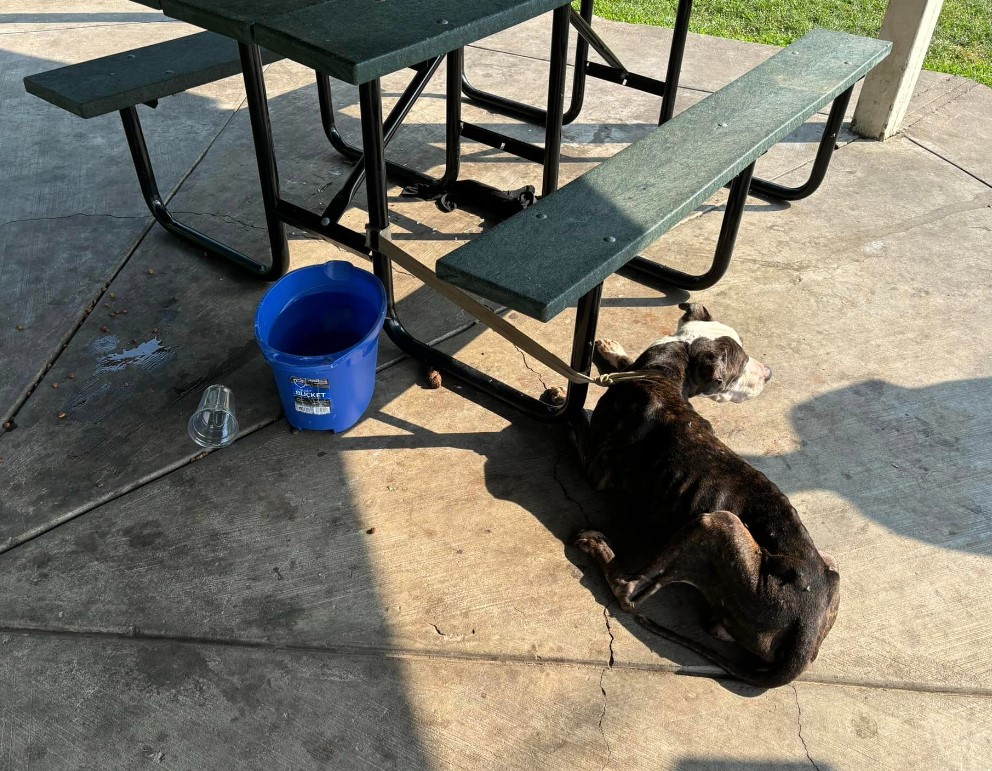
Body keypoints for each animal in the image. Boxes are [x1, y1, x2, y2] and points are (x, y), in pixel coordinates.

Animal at [572, 302, 836, 688]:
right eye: (737, 368)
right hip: (830, 565)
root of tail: (806, 628)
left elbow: (575, 419)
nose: (770, 374)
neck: (661, 374)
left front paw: (558, 398)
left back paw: (596, 546)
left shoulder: (595, 468)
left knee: (628, 591)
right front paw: (612, 350)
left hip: (715, 523)